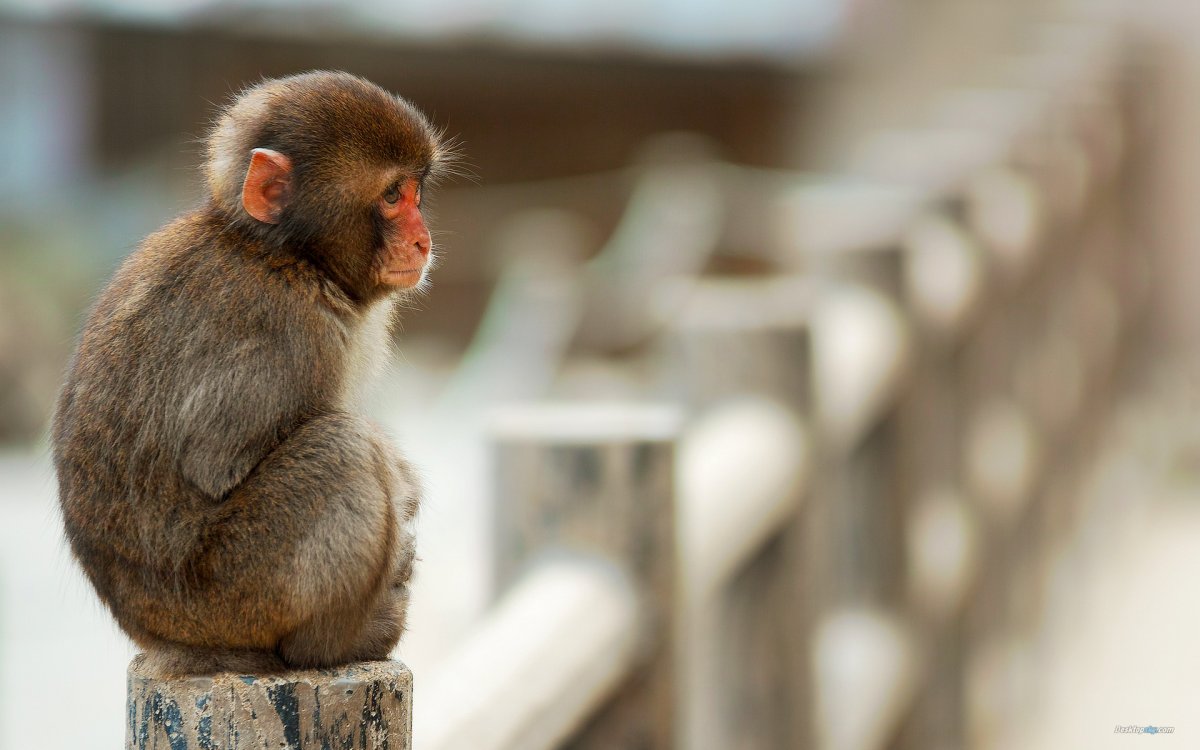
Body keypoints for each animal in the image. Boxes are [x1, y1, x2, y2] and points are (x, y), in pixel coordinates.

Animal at [51, 71, 453, 676]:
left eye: (415, 194)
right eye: (390, 197)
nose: (423, 239)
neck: (286, 256)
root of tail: (159, 638)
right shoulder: (285, 331)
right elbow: (217, 464)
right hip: (234, 595)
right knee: (342, 448)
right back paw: (335, 644)